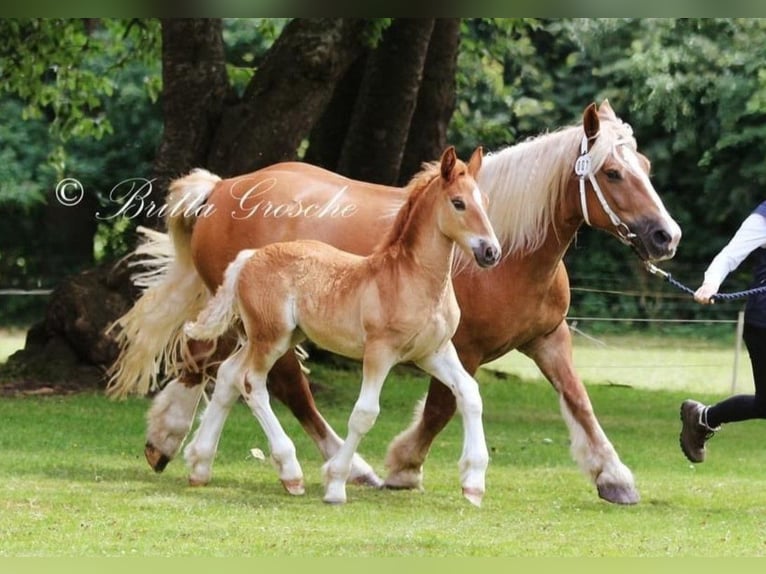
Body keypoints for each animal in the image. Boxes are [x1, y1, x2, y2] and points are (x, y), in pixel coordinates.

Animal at [109, 101, 684, 506]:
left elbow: (577, 400)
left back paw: (182, 448)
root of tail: (223, 187)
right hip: (267, 326)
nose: (666, 236)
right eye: (612, 173)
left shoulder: (548, 338)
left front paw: (614, 477)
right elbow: (441, 407)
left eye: (646, 164)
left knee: (216, 368)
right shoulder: (462, 347)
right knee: (272, 383)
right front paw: (403, 467)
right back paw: (333, 466)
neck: (515, 254)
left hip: (249, 321)